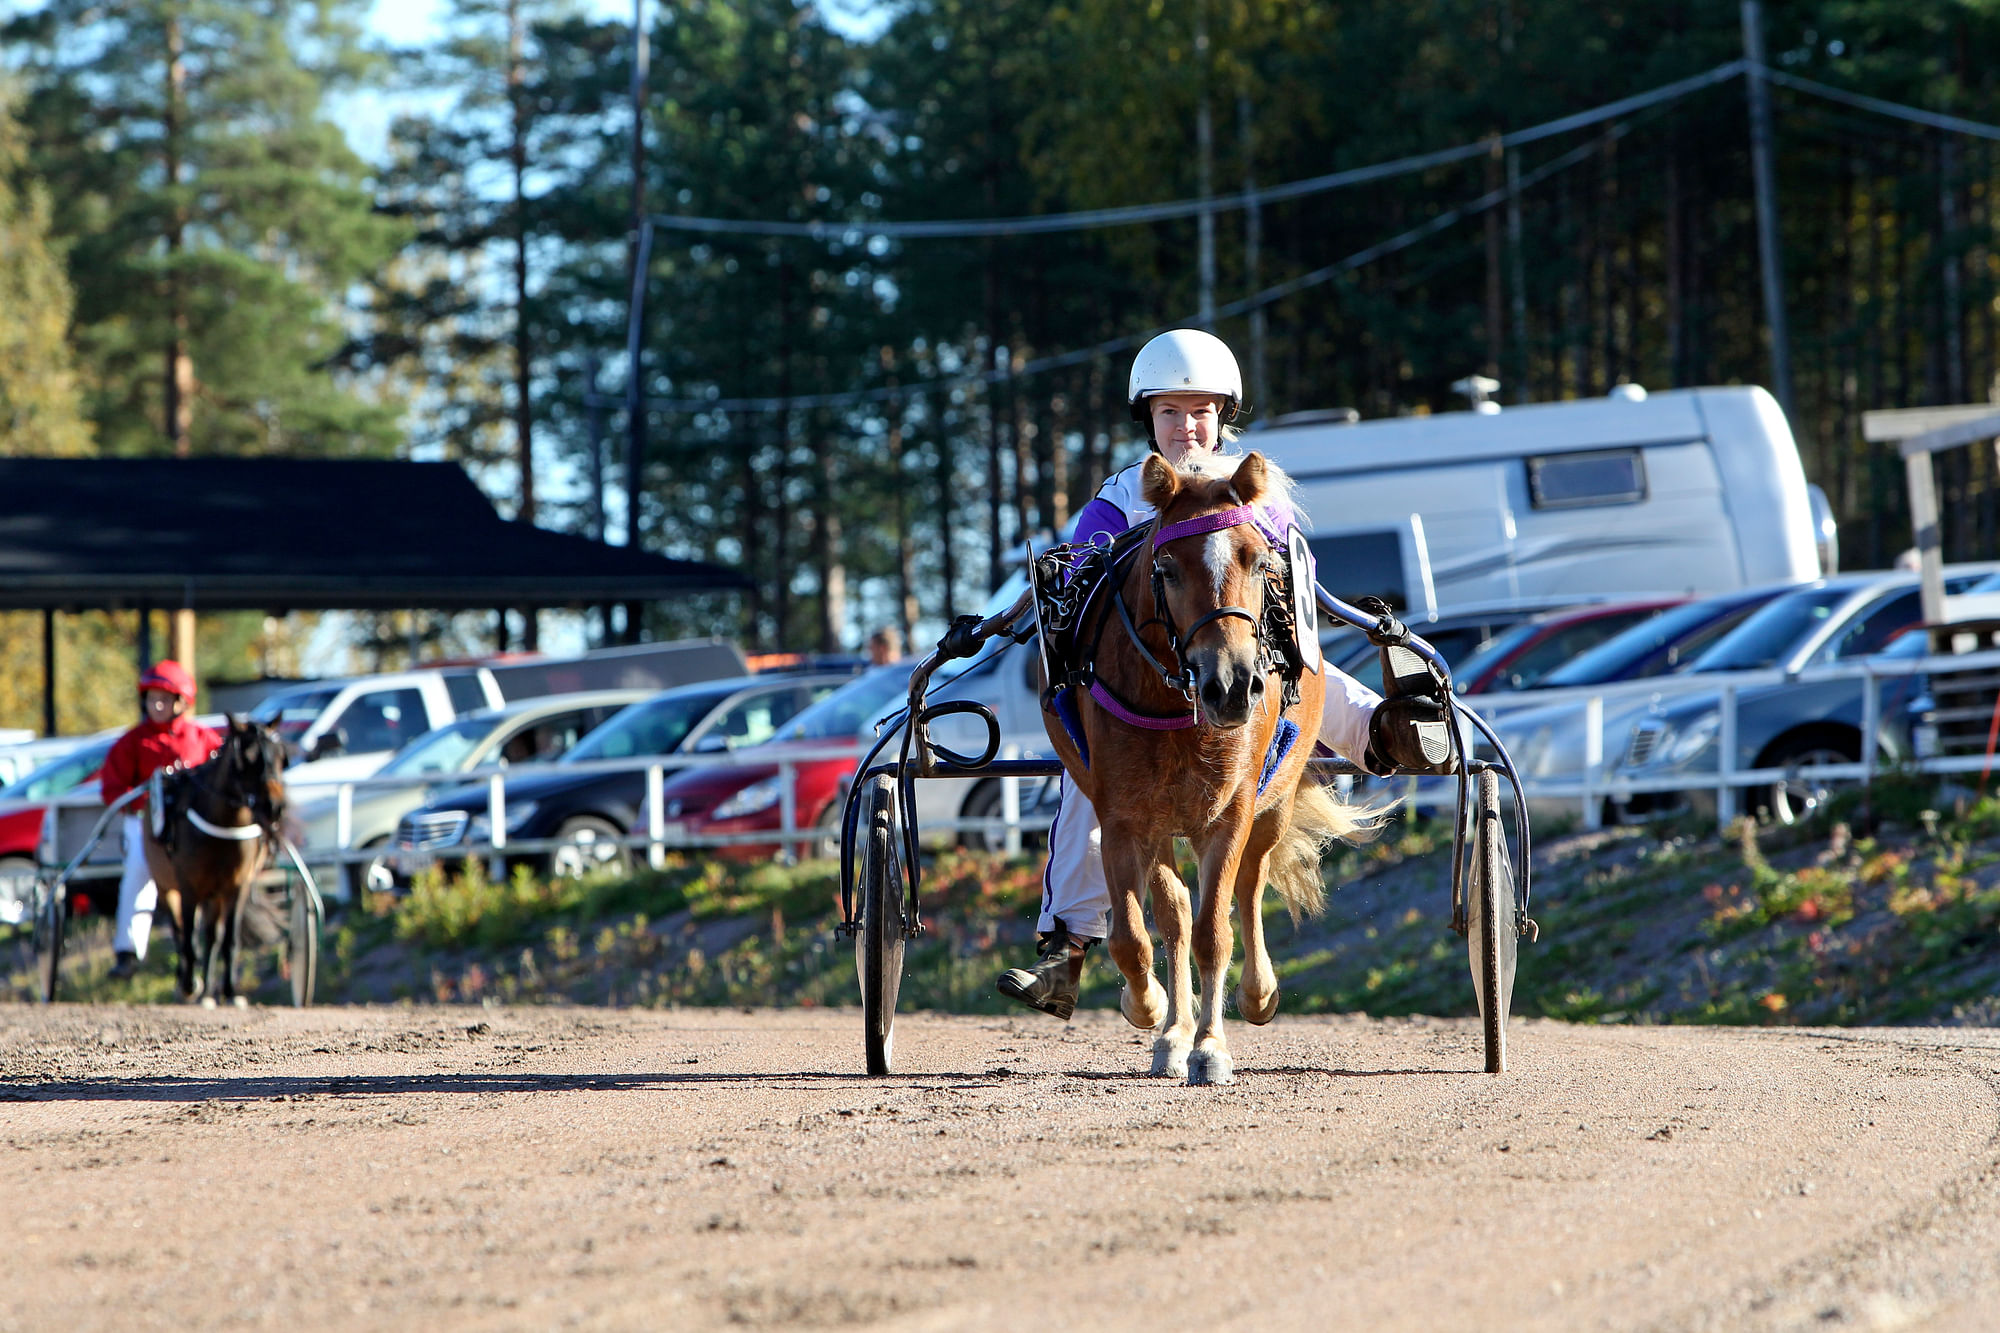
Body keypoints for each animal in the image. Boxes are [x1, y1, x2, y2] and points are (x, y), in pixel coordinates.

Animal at [145, 716, 290, 996]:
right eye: (247, 758)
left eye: (280, 756)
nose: (274, 806)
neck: (224, 827)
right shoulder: (189, 886)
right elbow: (188, 936)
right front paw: (189, 983)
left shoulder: (237, 887)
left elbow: (228, 939)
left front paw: (230, 989)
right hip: (166, 885)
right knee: (179, 930)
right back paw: (187, 981)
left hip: (215, 895)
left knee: (212, 936)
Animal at [1032, 448, 1376, 1080]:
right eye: (1166, 568)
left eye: (1259, 561)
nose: (1233, 684)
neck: (1177, 708)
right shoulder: (1126, 819)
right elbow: (1139, 935)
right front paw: (1154, 1013)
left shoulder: (1230, 812)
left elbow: (1214, 929)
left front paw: (1211, 1045)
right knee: (1171, 916)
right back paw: (1171, 1023)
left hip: (1273, 800)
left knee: (1250, 883)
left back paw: (1257, 993)